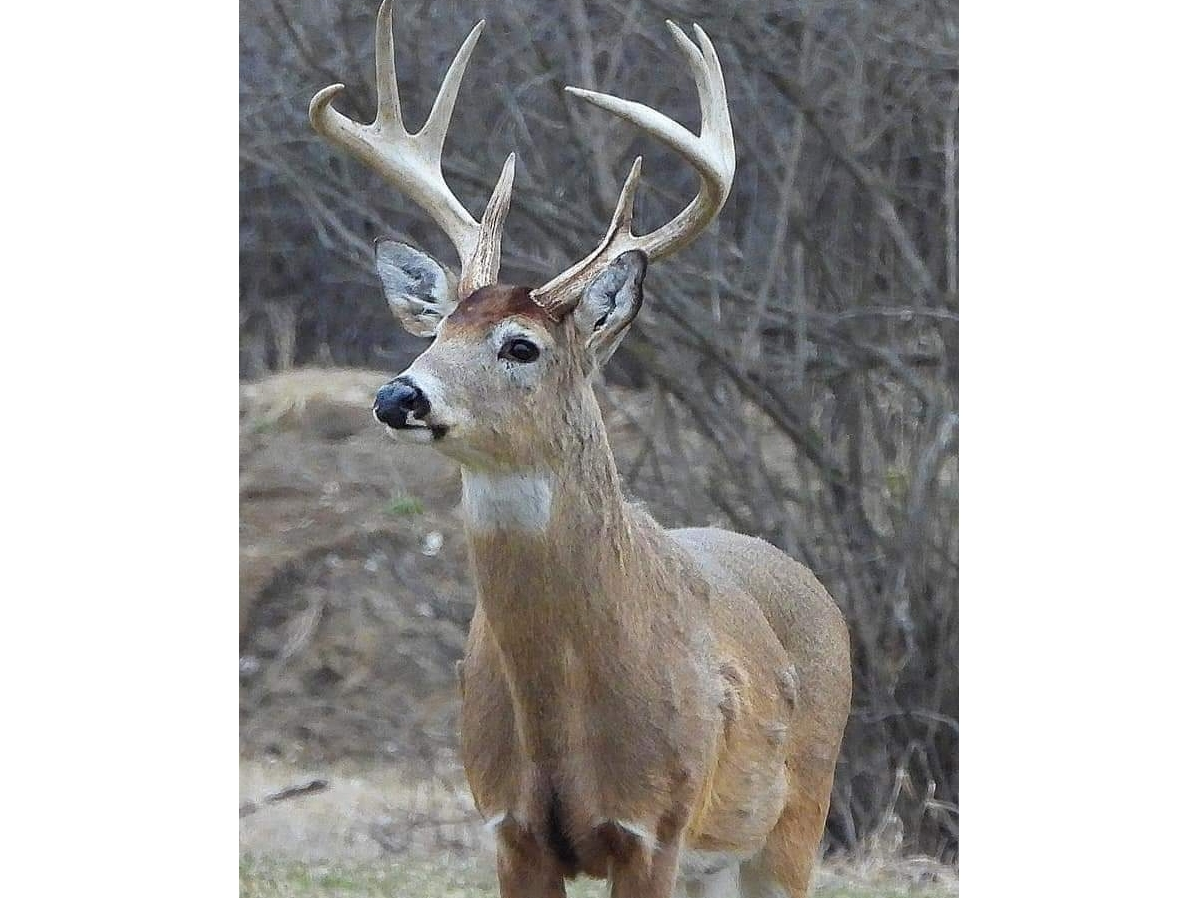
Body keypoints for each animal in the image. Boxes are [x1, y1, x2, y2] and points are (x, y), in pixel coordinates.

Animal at [309, 3, 851, 896]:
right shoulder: (508, 826)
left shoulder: (654, 826)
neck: (562, 712)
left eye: (520, 346)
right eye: (436, 330)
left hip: (795, 816)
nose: (397, 396)